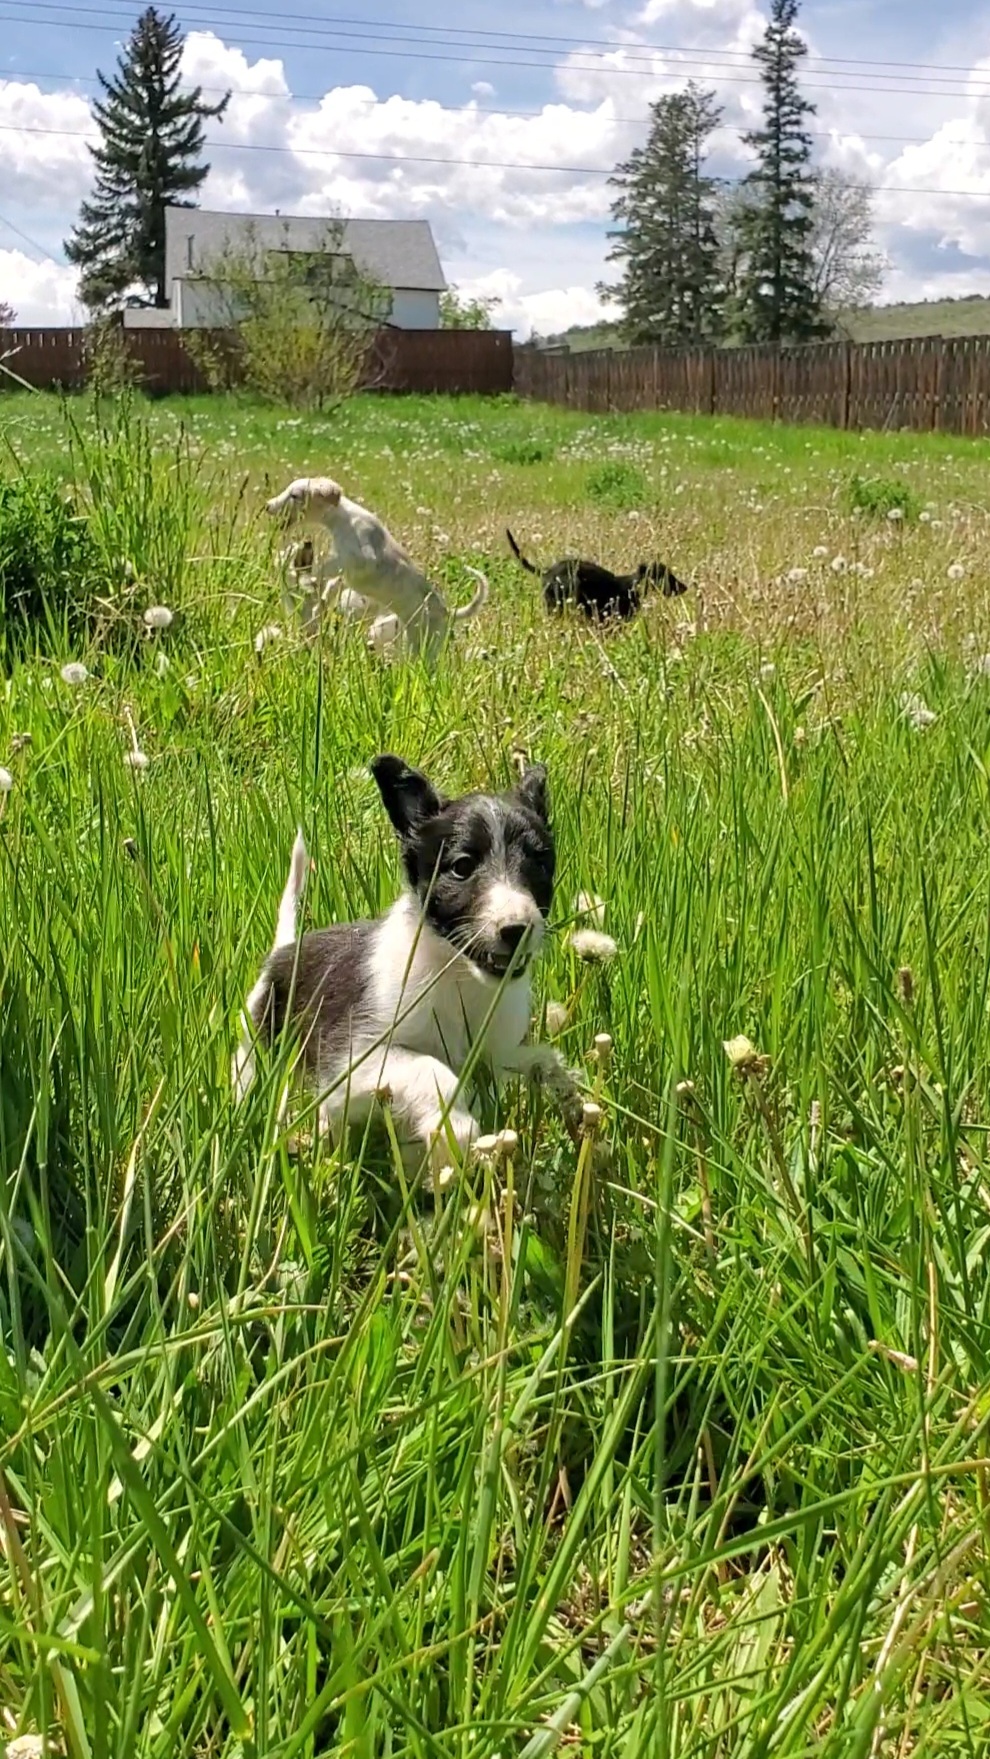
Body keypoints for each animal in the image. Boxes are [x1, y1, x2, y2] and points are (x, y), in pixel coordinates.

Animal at [233, 755, 582, 1170]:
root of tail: (286, 950)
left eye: (540, 863)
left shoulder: (495, 1056)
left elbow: (535, 1059)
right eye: (462, 867)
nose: (516, 929)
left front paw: (566, 1090)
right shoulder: (352, 1061)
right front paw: (457, 1130)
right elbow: (432, 1069)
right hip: (257, 1044)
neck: (457, 976)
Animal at [267, 477, 488, 657]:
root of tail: (447, 612)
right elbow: (332, 582)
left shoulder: (361, 559)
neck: (344, 519)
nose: (267, 506)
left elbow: (327, 568)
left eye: (295, 495)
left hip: (425, 645)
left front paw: (301, 573)